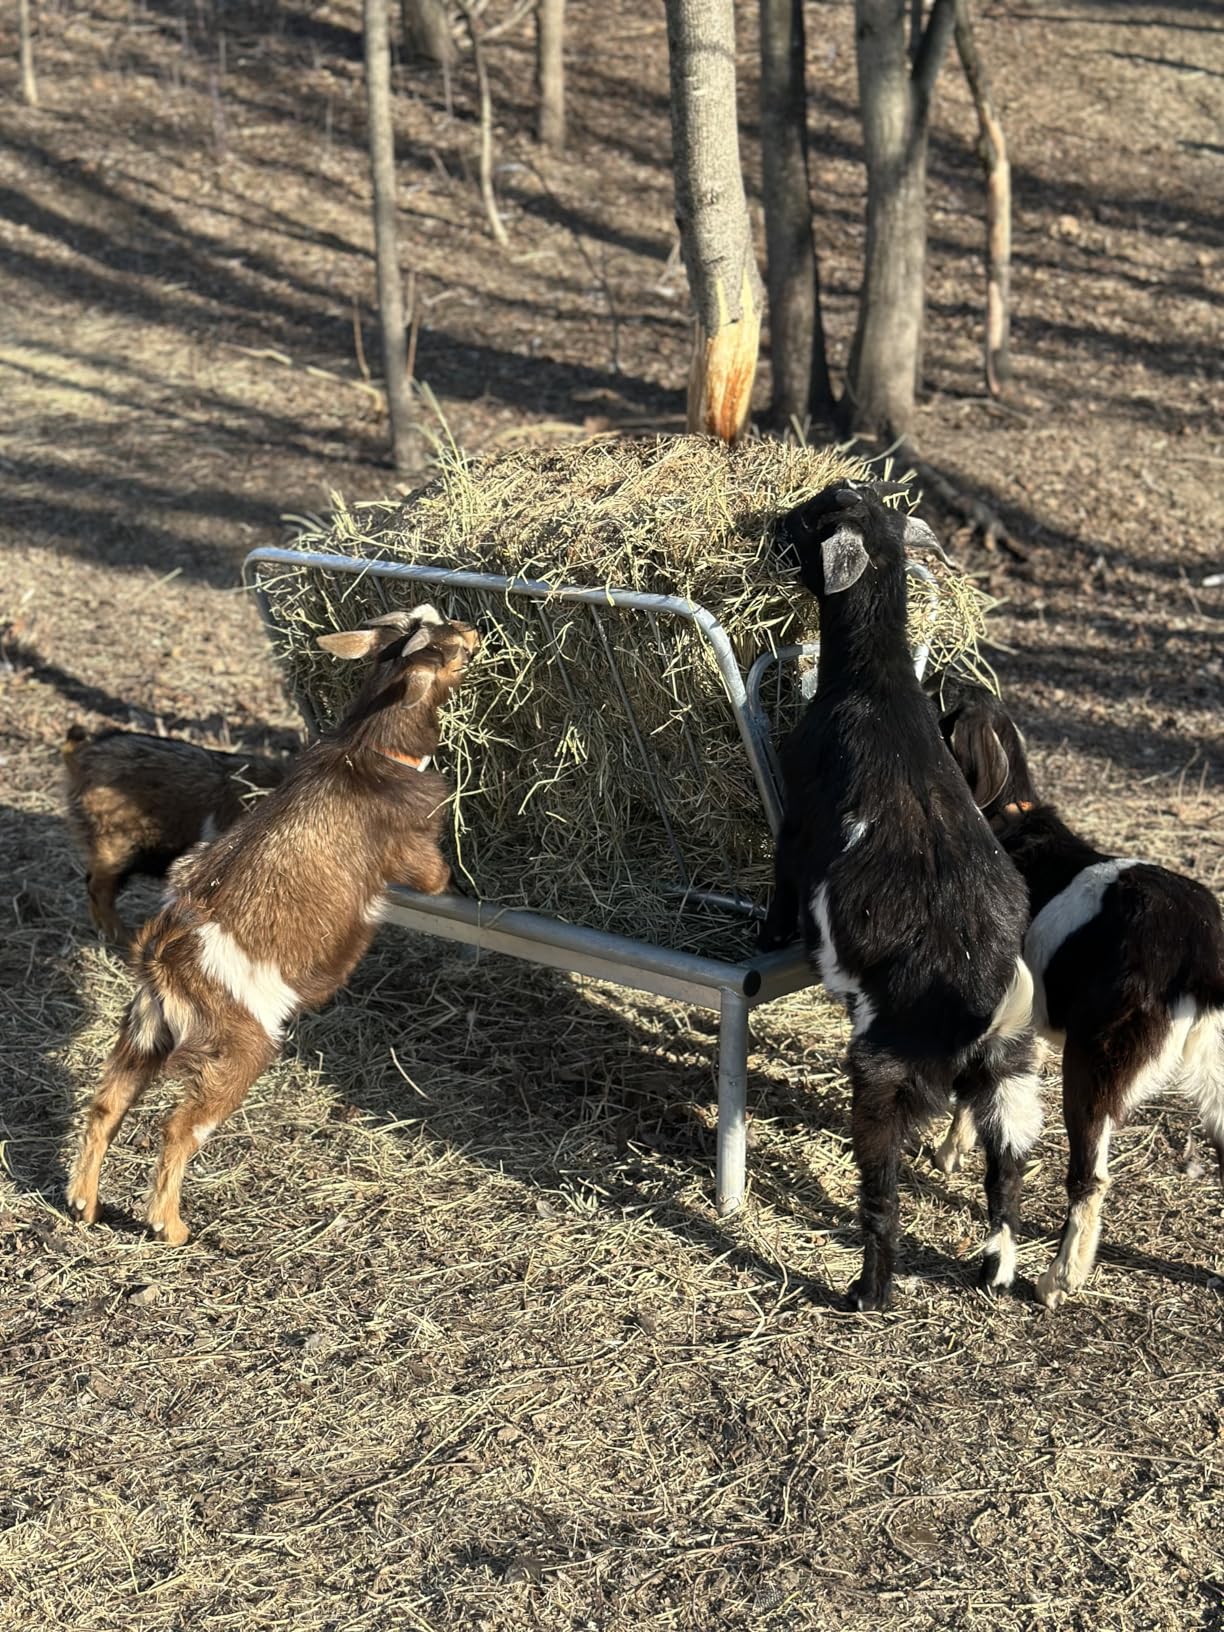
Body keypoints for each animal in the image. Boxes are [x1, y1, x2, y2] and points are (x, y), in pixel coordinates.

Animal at [759, 482, 1041, 1311]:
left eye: (812, 519)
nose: (769, 523)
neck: (876, 685)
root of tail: (980, 1006)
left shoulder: (798, 819)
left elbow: (781, 883)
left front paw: (764, 937)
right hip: (1012, 1073)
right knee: (1007, 1176)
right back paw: (992, 1272)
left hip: (886, 1070)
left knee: (880, 1191)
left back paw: (867, 1292)